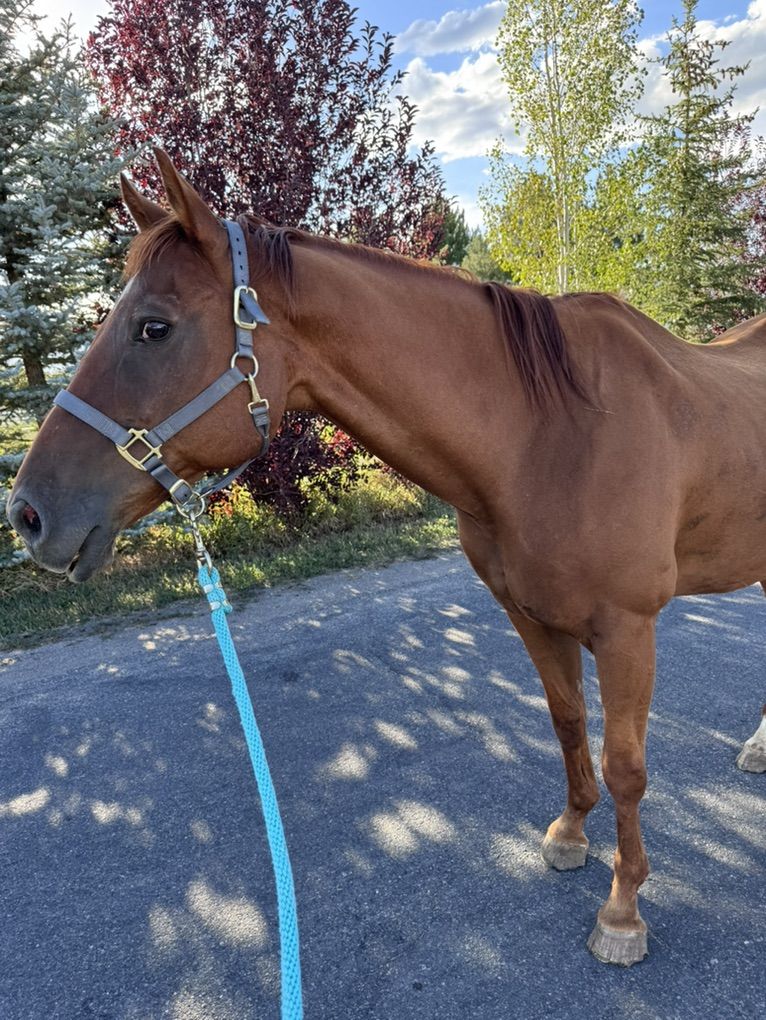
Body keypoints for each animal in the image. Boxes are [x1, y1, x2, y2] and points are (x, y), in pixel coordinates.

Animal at [8, 151, 765, 967]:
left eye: (154, 327)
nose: (27, 514)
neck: (552, 434)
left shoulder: (627, 630)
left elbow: (627, 768)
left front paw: (623, 911)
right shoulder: (530, 615)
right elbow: (566, 723)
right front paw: (569, 835)